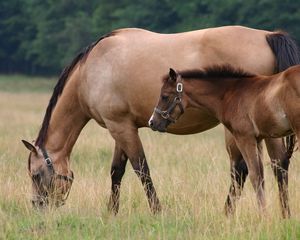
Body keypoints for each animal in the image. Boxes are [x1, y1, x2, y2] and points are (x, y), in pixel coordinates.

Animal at [149, 65, 298, 216]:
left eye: (164, 96)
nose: (152, 122)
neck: (231, 94)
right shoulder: (259, 139)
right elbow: (263, 175)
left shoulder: (244, 138)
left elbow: (255, 175)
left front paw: (263, 216)